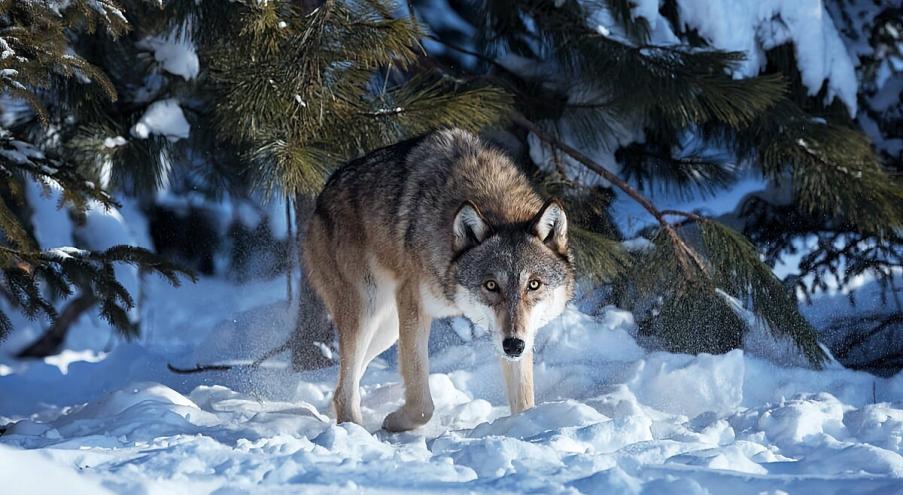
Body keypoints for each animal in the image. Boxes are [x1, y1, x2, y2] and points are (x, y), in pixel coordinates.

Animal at [302, 128, 572, 430]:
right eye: (491, 285)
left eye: (533, 284)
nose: (514, 345)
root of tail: (321, 196)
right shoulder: (414, 308)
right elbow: (422, 404)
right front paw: (394, 422)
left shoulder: (519, 335)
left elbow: (524, 401)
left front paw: (523, 426)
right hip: (366, 313)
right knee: (344, 390)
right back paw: (354, 430)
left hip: (387, 328)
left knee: (343, 385)